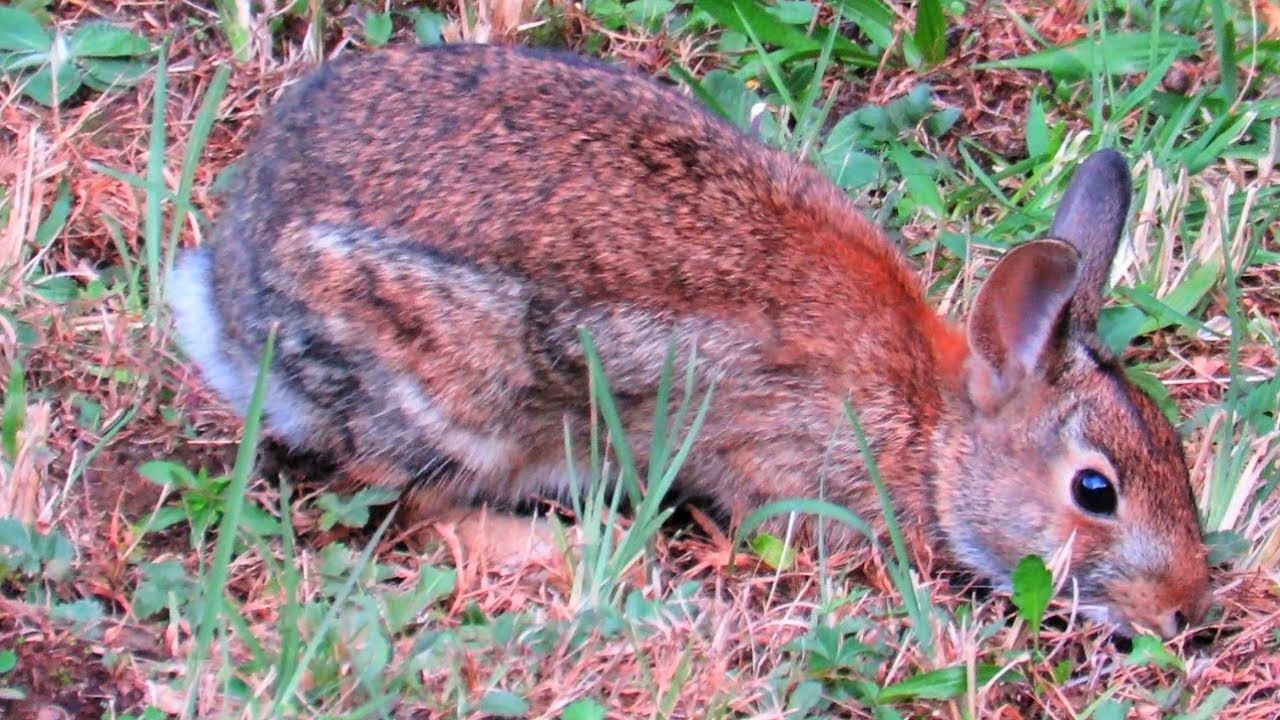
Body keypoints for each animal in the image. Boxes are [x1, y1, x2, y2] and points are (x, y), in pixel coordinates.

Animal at [168, 43, 1211, 638]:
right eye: (1094, 492)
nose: (1183, 610)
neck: (933, 428)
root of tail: (231, 302)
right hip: (459, 391)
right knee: (410, 507)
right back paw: (564, 550)